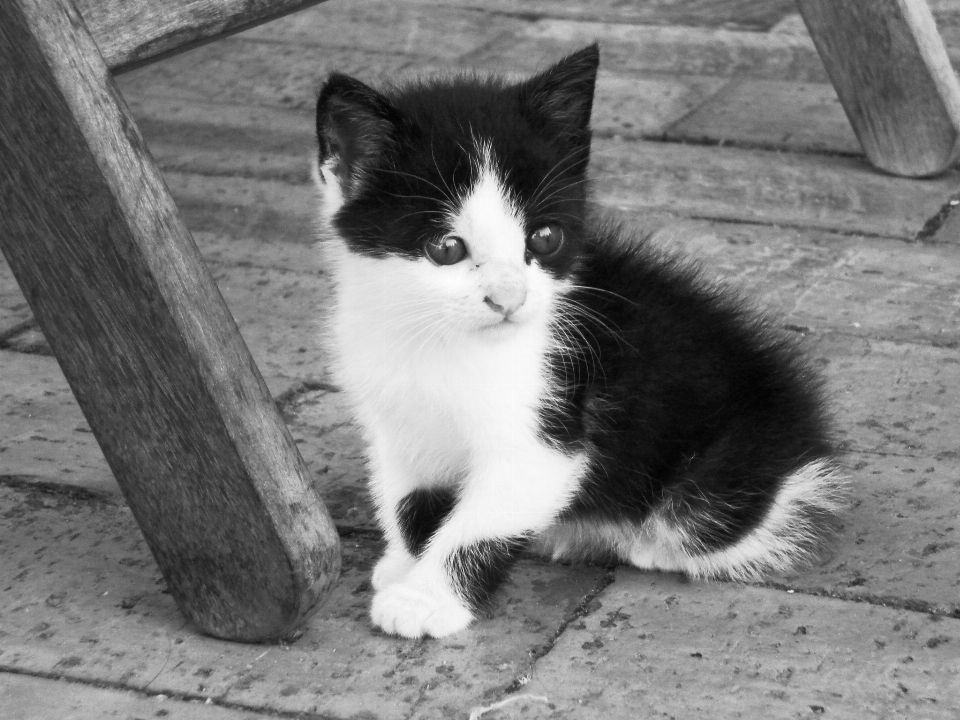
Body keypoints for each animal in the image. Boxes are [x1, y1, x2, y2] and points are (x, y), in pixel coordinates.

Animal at [312, 45, 844, 640]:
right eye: (446, 248)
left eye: (545, 238)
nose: (509, 298)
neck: (433, 338)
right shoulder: (392, 413)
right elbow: (405, 496)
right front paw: (404, 562)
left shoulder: (548, 428)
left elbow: (483, 519)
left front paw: (425, 598)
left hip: (715, 478)